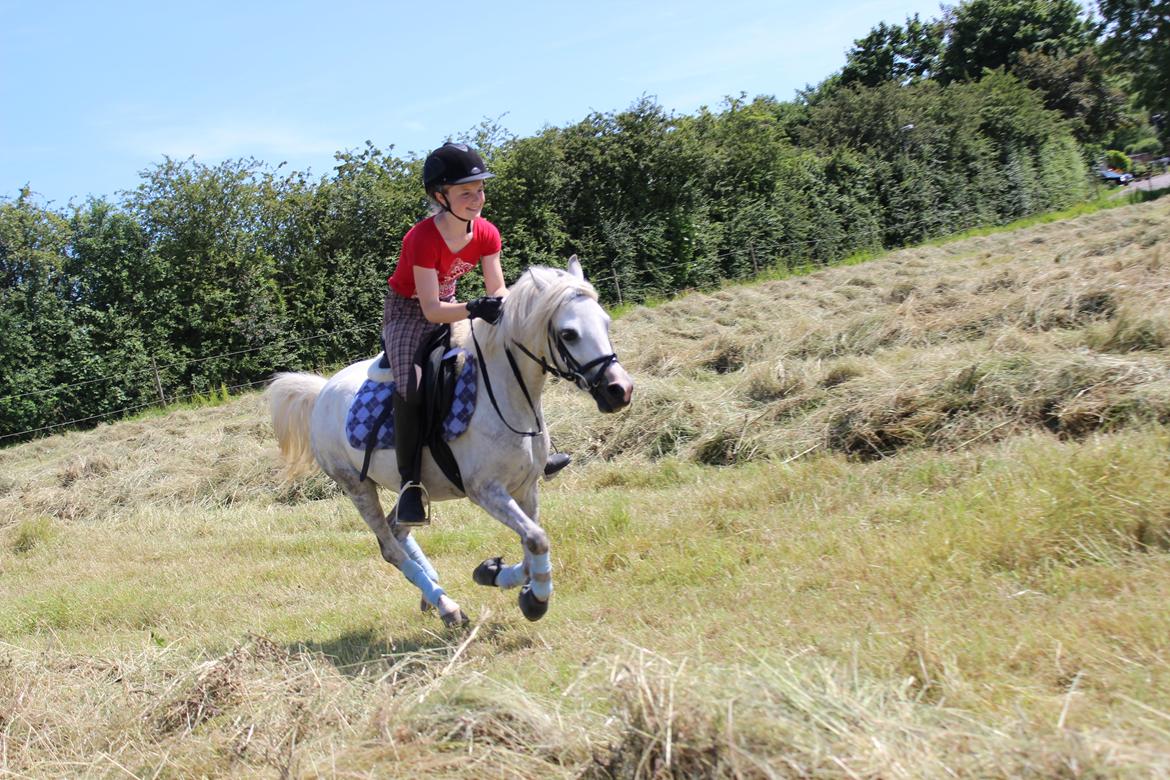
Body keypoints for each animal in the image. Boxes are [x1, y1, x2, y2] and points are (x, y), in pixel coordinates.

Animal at [267, 259, 631, 626]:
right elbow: (537, 539)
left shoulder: (526, 487)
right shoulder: (486, 491)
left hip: (408, 491)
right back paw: (446, 605)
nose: (620, 390)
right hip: (356, 486)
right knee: (389, 547)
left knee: (398, 529)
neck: (506, 394)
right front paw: (534, 600)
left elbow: (531, 546)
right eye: (569, 333)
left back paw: (431, 590)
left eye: (605, 322)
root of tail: (322, 390)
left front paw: (495, 574)